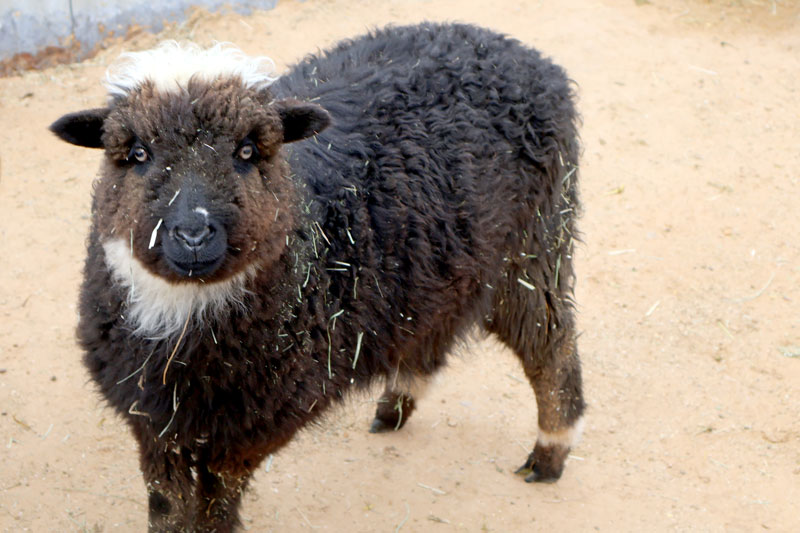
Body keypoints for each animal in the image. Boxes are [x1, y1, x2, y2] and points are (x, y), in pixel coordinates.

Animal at [50, 22, 585, 532]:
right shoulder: (156, 424)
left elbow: (215, 505)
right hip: (440, 264)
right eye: (137, 153)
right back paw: (395, 408)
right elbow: (168, 508)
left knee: (550, 345)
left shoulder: (247, 431)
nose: (193, 234)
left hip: (533, 247)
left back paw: (549, 453)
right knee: (431, 330)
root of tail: (518, 51)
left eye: (248, 151)